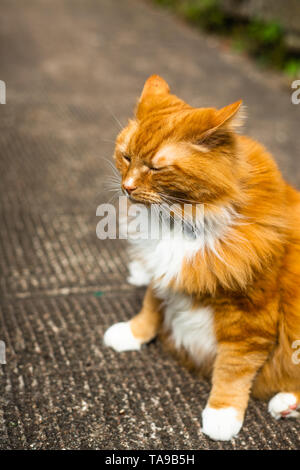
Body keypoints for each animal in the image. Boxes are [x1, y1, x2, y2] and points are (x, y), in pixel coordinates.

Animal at [103, 76, 300, 440]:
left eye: (156, 167)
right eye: (126, 156)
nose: (127, 187)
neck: (182, 221)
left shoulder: (249, 319)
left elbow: (232, 370)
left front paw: (222, 415)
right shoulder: (163, 274)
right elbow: (150, 307)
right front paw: (132, 334)